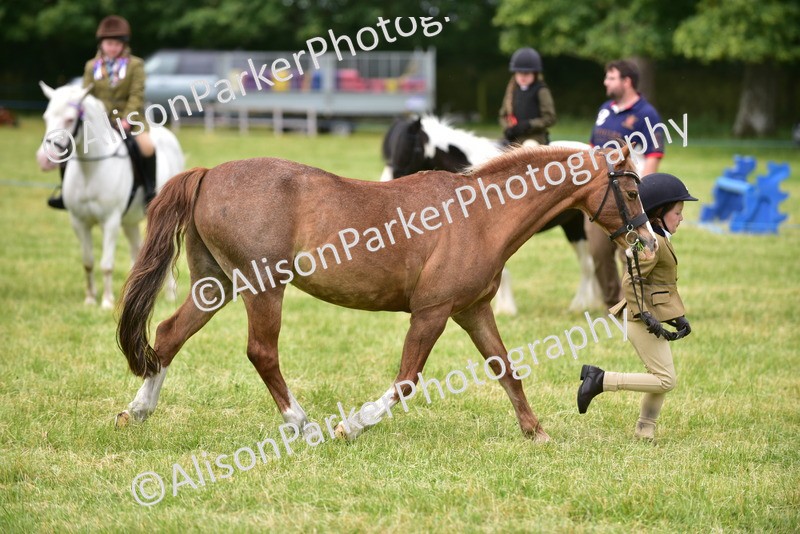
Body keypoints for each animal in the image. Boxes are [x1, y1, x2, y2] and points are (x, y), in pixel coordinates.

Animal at [35, 82, 185, 310]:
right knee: (137, 250)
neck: (91, 170)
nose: (44, 159)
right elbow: (88, 262)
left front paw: (106, 301)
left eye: (70, 119)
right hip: (130, 222)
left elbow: (106, 264)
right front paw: (90, 299)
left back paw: (170, 294)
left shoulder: (111, 221)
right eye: (46, 117)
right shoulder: (79, 222)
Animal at [115, 142, 655, 443]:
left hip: (218, 285)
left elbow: (506, 370)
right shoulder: (432, 312)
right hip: (263, 287)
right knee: (261, 352)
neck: (479, 216)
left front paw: (536, 432)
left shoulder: (473, 310)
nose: (648, 242)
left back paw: (138, 411)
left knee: (169, 334)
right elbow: (407, 380)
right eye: (631, 192)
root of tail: (209, 174)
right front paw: (352, 425)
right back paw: (304, 425)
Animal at [380, 115, 607, 316]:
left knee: (587, 265)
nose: (386, 183)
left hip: (576, 227)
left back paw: (578, 306)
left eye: (412, 149)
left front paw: (506, 309)